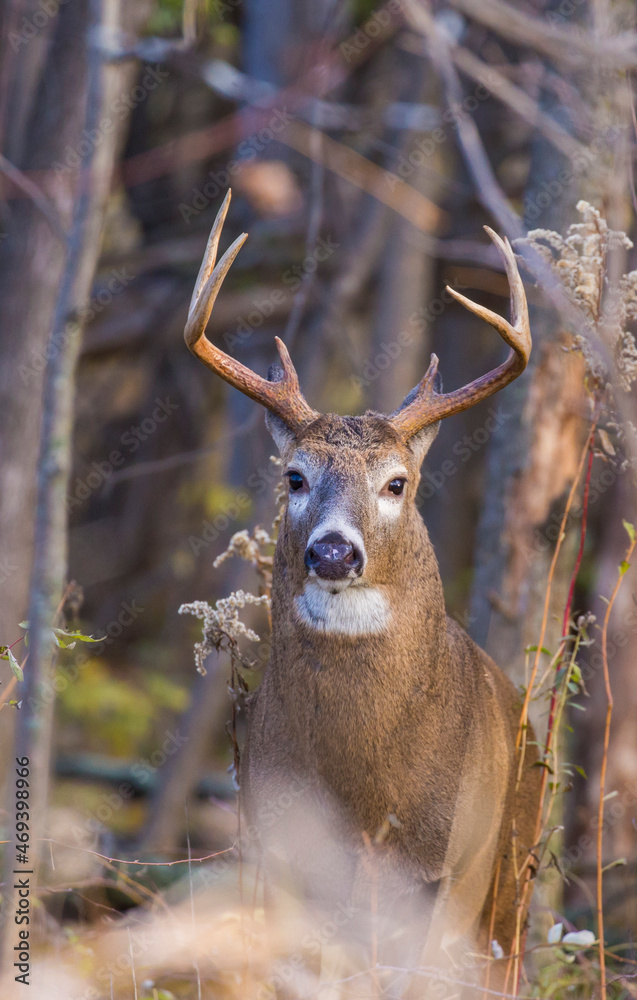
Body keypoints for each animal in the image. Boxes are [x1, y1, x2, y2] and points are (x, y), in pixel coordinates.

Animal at [184, 190, 541, 997]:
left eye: (396, 483)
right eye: (294, 476)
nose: (334, 550)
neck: (363, 779)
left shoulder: (433, 859)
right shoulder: (278, 846)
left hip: (511, 867)